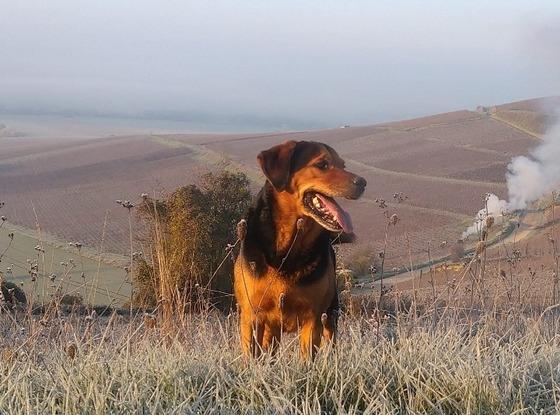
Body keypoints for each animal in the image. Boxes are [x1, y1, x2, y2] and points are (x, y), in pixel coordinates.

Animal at [234, 141, 366, 360]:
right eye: (322, 164)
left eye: (343, 165)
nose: (363, 182)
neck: (288, 249)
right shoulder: (252, 316)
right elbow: (251, 357)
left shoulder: (312, 318)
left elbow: (307, 359)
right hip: (271, 327)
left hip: (330, 314)